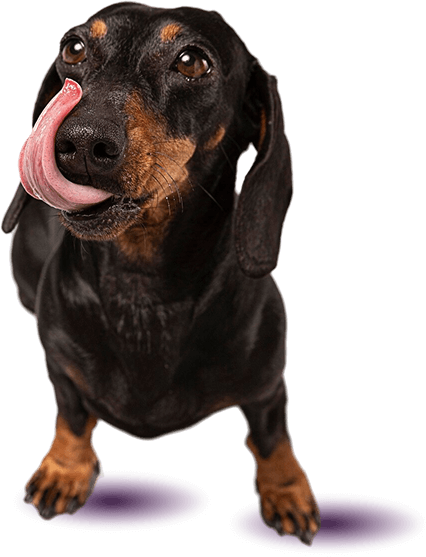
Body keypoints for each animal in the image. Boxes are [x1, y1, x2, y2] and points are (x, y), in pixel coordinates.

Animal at [3, 3, 320, 545]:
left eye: (192, 61)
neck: (142, 291)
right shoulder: (61, 369)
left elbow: (272, 438)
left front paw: (287, 490)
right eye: (74, 49)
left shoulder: (267, 388)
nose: (79, 143)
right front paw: (65, 469)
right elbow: (72, 417)